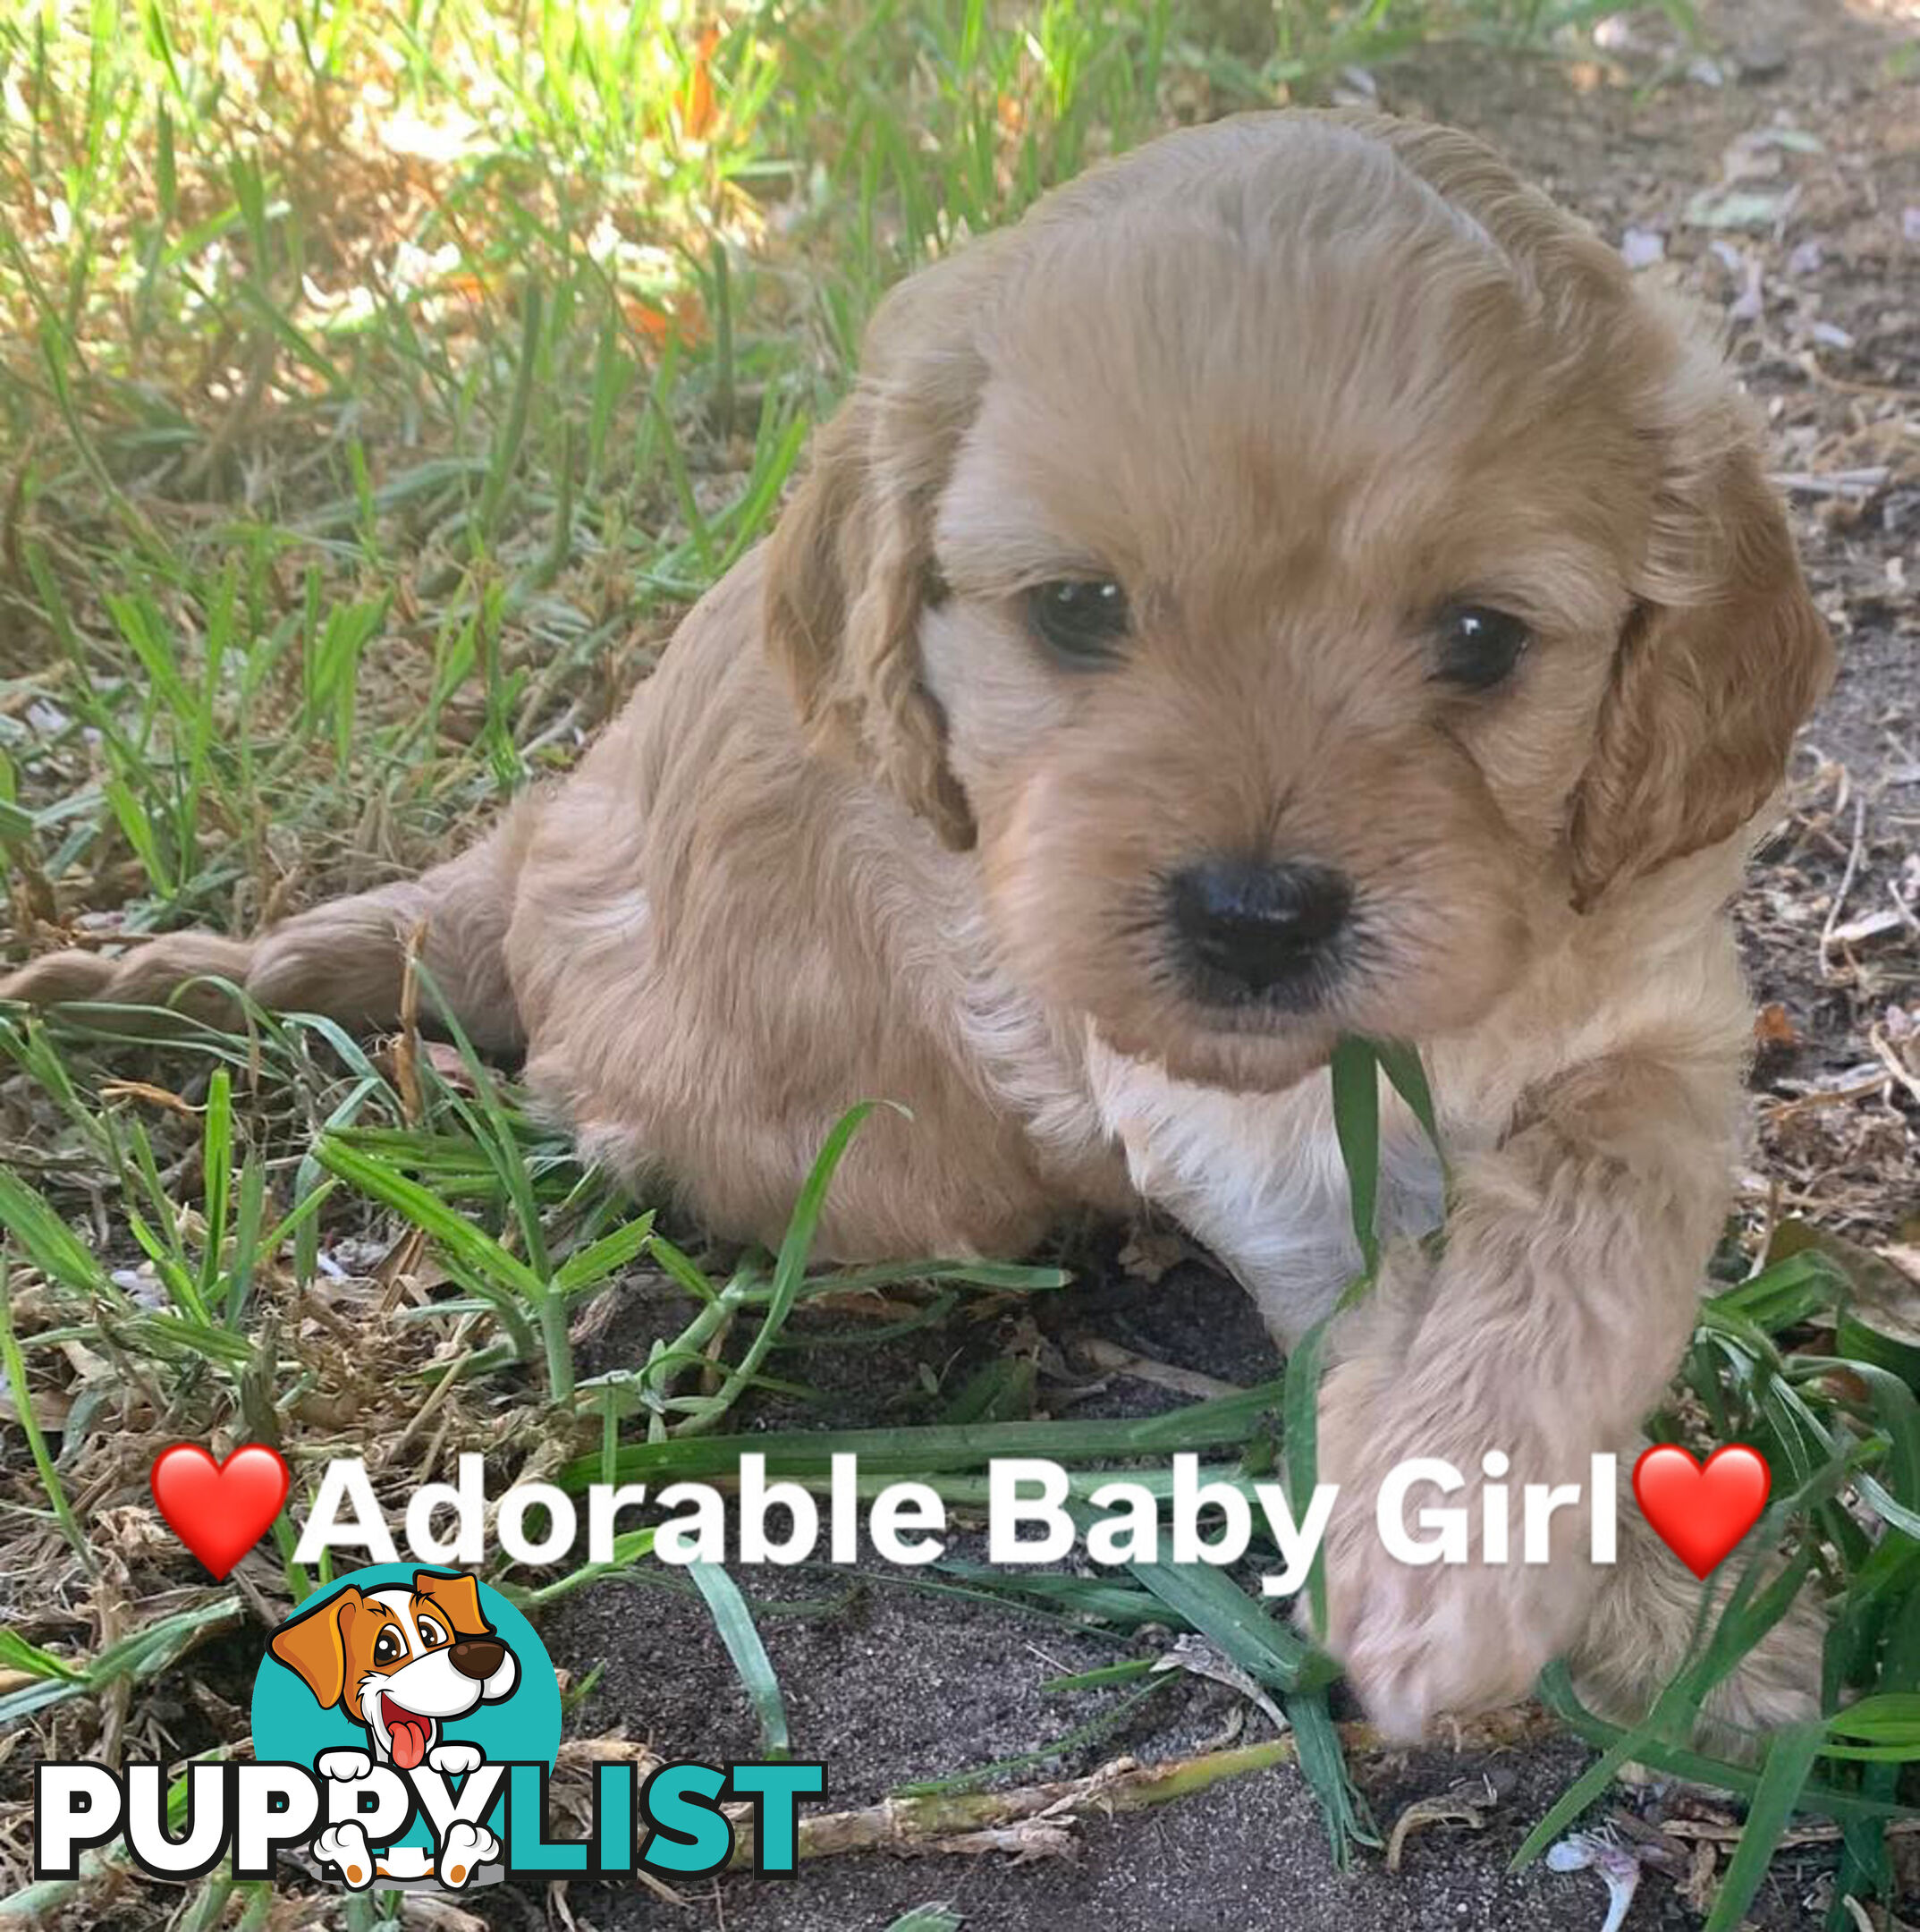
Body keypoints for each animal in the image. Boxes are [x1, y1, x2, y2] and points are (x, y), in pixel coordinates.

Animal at [7, 113, 1831, 1746]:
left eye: (1479, 640)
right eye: (1077, 612)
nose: (1252, 920)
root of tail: (523, 868)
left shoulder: (1660, 1007)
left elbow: (1591, 1222)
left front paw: (1650, 1604)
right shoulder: (1257, 1152)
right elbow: (1384, 1305)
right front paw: (1587, 1606)